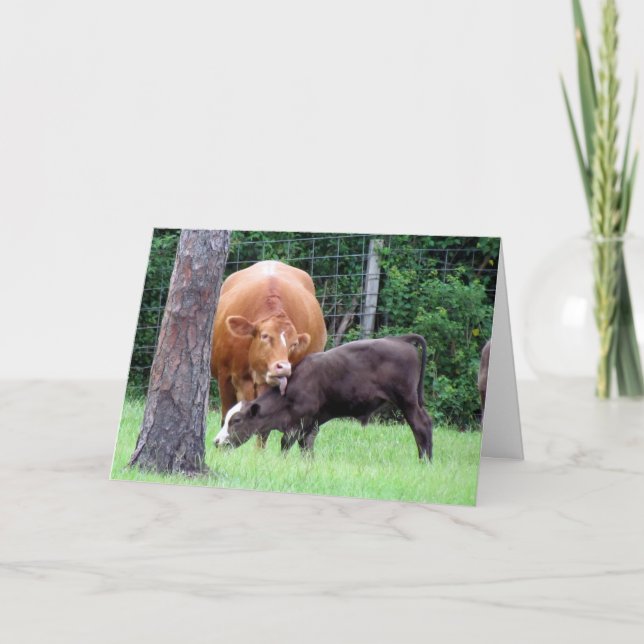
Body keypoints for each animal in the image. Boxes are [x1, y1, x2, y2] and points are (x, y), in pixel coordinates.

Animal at [211, 260, 327, 445]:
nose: (284, 367)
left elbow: (262, 428)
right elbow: (226, 417)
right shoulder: (225, 377)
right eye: (265, 336)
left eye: (294, 344)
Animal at [213, 334, 433, 461]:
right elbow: (306, 447)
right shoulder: (312, 424)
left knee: (421, 425)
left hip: (407, 400)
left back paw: (425, 460)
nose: (216, 441)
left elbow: (286, 444)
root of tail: (400, 340)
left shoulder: (300, 423)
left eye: (237, 420)